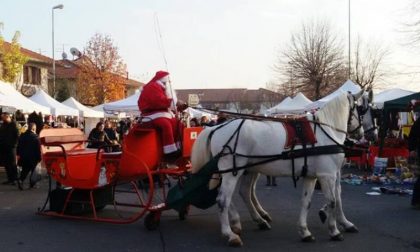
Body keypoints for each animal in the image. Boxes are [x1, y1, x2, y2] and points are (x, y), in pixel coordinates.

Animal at [191, 90, 364, 246]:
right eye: (363, 109)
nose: (364, 134)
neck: (325, 132)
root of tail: (216, 128)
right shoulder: (327, 175)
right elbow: (333, 200)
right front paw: (334, 231)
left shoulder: (312, 176)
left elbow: (306, 202)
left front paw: (305, 231)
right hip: (232, 172)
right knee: (223, 200)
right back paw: (230, 234)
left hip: (243, 170)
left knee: (242, 193)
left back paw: (256, 221)